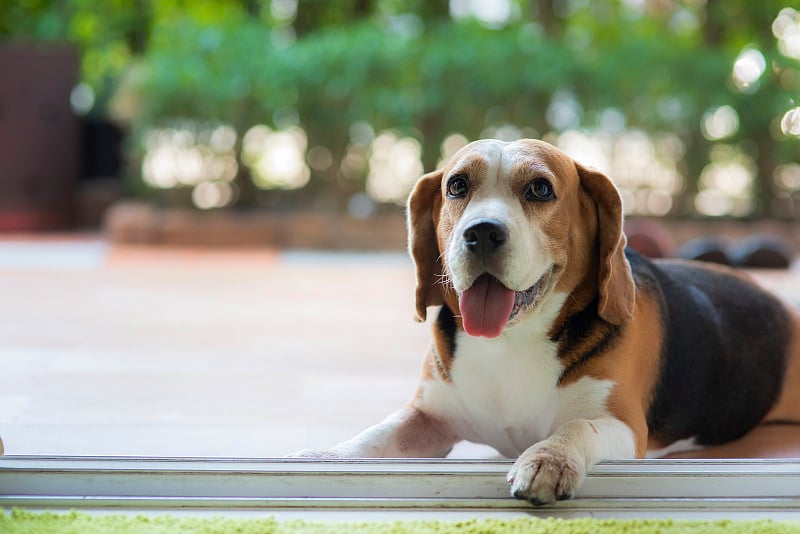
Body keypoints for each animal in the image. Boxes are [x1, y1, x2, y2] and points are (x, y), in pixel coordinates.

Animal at [296, 138, 800, 506]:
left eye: (539, 189)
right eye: (457, 186)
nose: (481, 233)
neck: (509, 342)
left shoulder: (622, 426)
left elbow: (575, 428)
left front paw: (547, 461)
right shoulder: (429, 416)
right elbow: (375, 434)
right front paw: (326, 456)